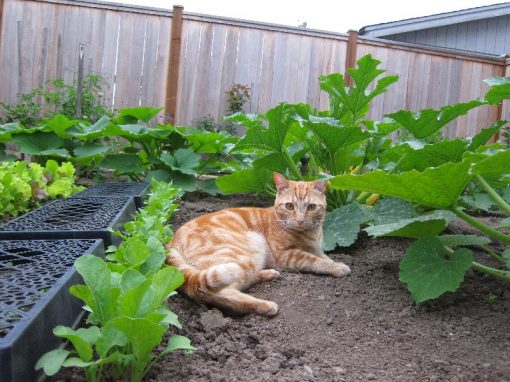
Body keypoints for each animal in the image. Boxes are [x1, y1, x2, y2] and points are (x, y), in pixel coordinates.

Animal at [167, 173, 350, 316]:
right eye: (289, 206)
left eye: (311, 207)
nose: (300, 220)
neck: (310, 234)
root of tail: (171, 244)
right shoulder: (287, 255)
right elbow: (316, 261)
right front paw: (337, 267)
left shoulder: (316, 249)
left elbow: (324, 257)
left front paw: (335, 263)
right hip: (247, 248)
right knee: (215, 293)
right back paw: (264, 305)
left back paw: (268, 274)